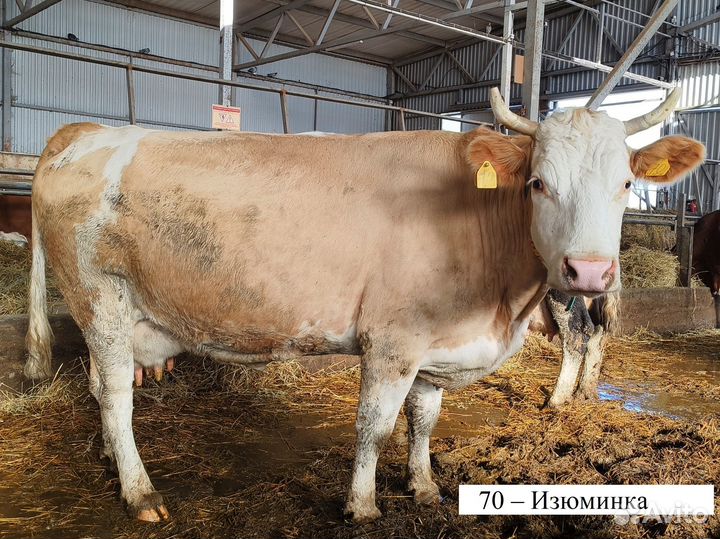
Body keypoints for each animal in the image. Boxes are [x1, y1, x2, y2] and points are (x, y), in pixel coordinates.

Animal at [24, 87, 703, 523]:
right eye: (539, 183)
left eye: (626, 184)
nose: (588, 271)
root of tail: (85, 134)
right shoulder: (393, 340)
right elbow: (374, 427)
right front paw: (364, 505)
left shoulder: (436, 344)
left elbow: (423, 421)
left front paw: (425, 489)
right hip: (101, 300)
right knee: (115, 394)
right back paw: (140, 493)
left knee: (97, 386)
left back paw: (112, 461)